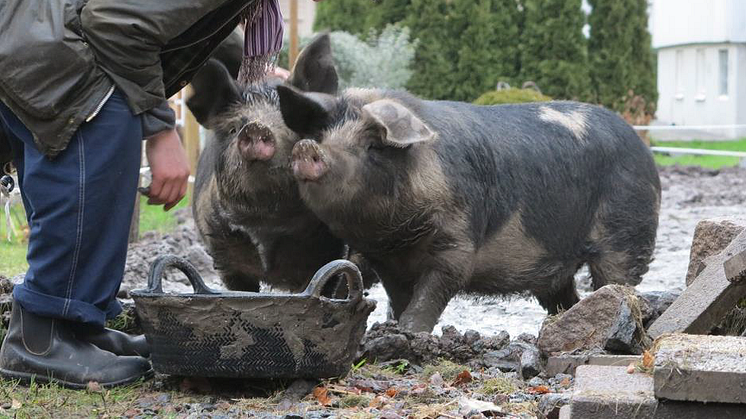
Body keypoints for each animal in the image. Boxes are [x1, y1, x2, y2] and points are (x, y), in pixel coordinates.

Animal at [278, 87, 656, 334]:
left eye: (373, 146)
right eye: (323, 136)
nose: (307, 148)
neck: (395, 235)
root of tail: (640, 144)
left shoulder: (457, 244)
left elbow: (434, 290)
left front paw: (410, 334)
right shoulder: (384, 261)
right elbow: (399, 296)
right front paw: (393, 329)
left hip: (627, 232)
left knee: (617, 280)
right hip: (555, 262)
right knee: (566, 296)